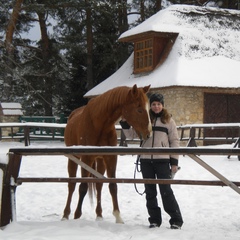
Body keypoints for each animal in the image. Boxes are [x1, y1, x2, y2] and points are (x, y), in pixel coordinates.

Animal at [62, 84, 151, 223]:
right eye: (139, 109)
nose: (148, 133)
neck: (100, 124)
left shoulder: (110, 157)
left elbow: (113, 186)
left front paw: (118, 217)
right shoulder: (86, 158)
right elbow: (83, 187)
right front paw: (77, 215)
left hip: (99, 161)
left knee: (99, 185)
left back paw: (99, 215)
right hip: (73, 159)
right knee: (71, 185)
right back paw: (66, 215)